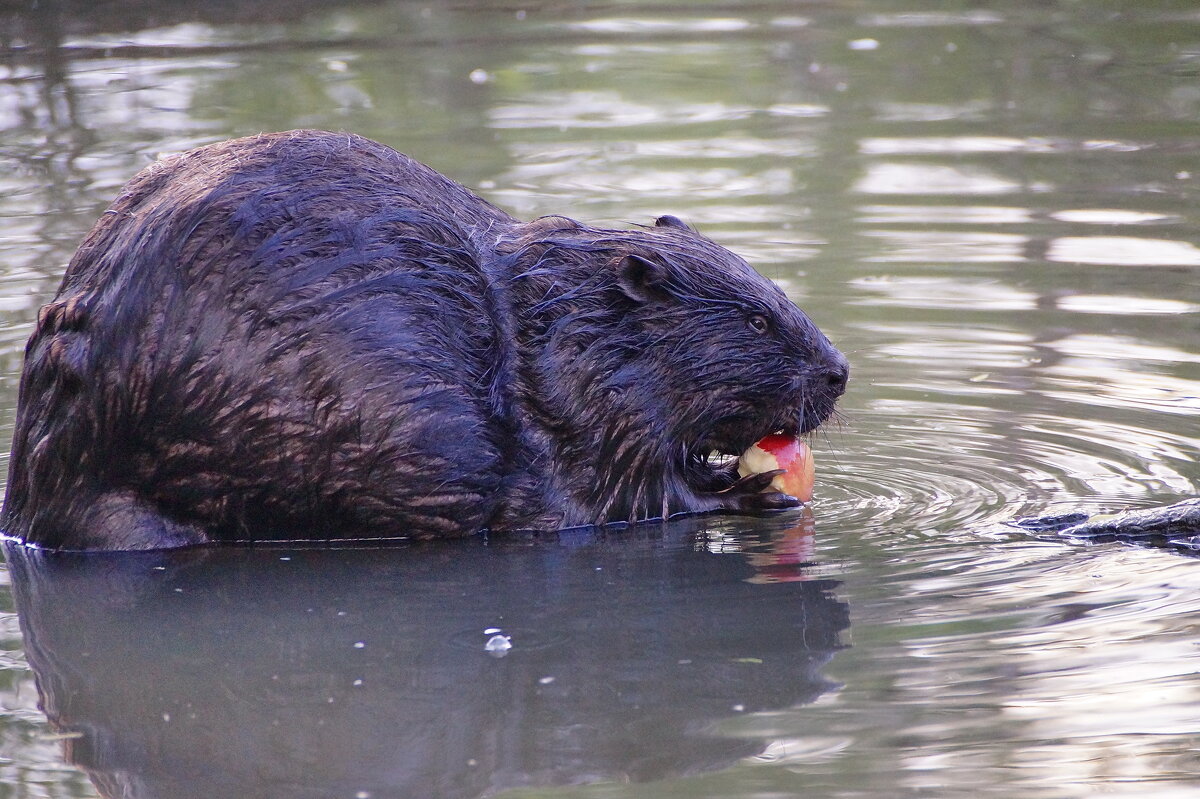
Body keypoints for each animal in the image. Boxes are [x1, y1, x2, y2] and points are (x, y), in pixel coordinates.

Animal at [2, 128, 844, 547]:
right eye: (757, 319)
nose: (838, 372)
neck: (545, 331)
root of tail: (26, 508)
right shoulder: (576, 428)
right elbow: (625, 495)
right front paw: (754, 488)